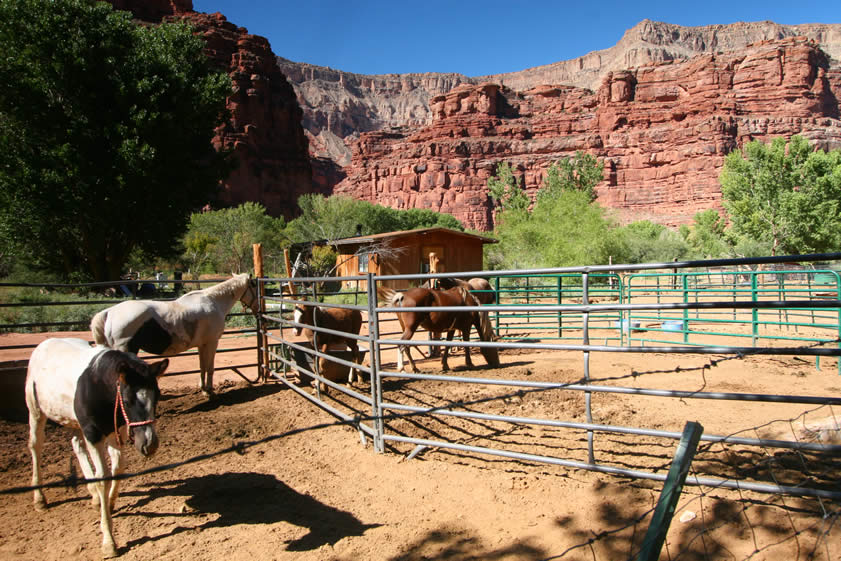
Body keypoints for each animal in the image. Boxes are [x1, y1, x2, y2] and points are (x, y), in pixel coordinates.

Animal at [25, 336, 169, 556]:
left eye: (158, 395)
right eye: (127, 400)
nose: (149, 444)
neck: (98, 387)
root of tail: (44, 344)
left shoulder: (115, 431)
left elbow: (117, 469)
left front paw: (108, 503)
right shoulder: (94, 433)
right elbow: (103, 478)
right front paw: (109, 542)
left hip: (74, 421)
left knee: (77, 446)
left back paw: (93, 496)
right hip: (36, 410)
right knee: (35, 446)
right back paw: (39, 499)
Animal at [90, 274, 258, 396]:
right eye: (254, 286)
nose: (258, 308)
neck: (213, 301)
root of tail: (109, 312)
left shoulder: (202, 344)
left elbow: (202, 367)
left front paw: (203, 388)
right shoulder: (212, 342)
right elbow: (210, 367)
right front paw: (209, 390)